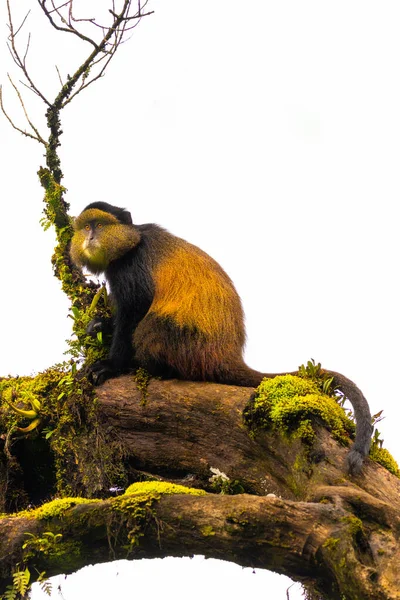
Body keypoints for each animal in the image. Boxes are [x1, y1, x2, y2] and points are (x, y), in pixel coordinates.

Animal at [70, 202, 374, 474]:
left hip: (187, 344)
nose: (90, 236)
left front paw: (112, 366)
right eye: (85, 226)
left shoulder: (130, 270)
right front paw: (100, 325)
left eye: (100, 225)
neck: (130, 243)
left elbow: (134, 312)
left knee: (149, 330)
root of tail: (227, 356)